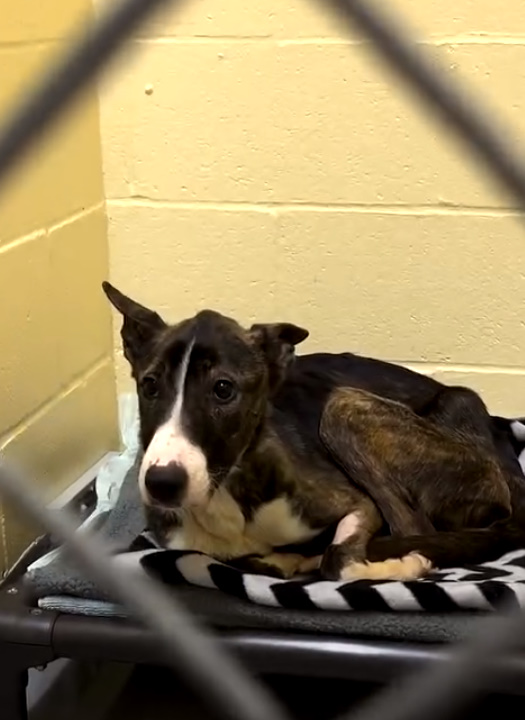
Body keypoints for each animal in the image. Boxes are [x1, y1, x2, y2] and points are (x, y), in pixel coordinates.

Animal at [103, 282, 525, 584]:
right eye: (149, 385)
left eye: (223, 389)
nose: (162, 483)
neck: (225, 494)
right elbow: (260, 562)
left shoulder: (357, 504)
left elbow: (336, 560)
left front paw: (403, 566)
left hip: (343, 407)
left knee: (412, 526)